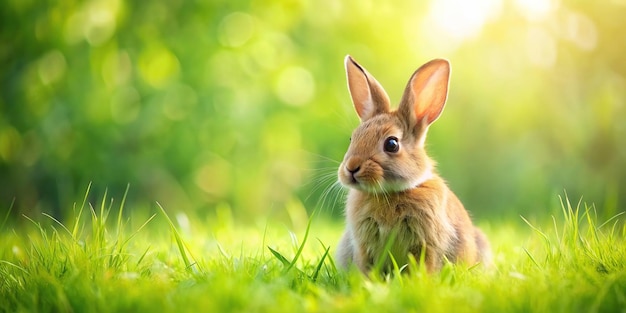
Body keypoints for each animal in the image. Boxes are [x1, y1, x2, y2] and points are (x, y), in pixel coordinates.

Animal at [334, 55, 490, 272]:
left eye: (392, 144)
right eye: (352, 138)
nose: (351, 168)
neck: (390, 193)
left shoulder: (427, 244)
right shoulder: (363, 246)